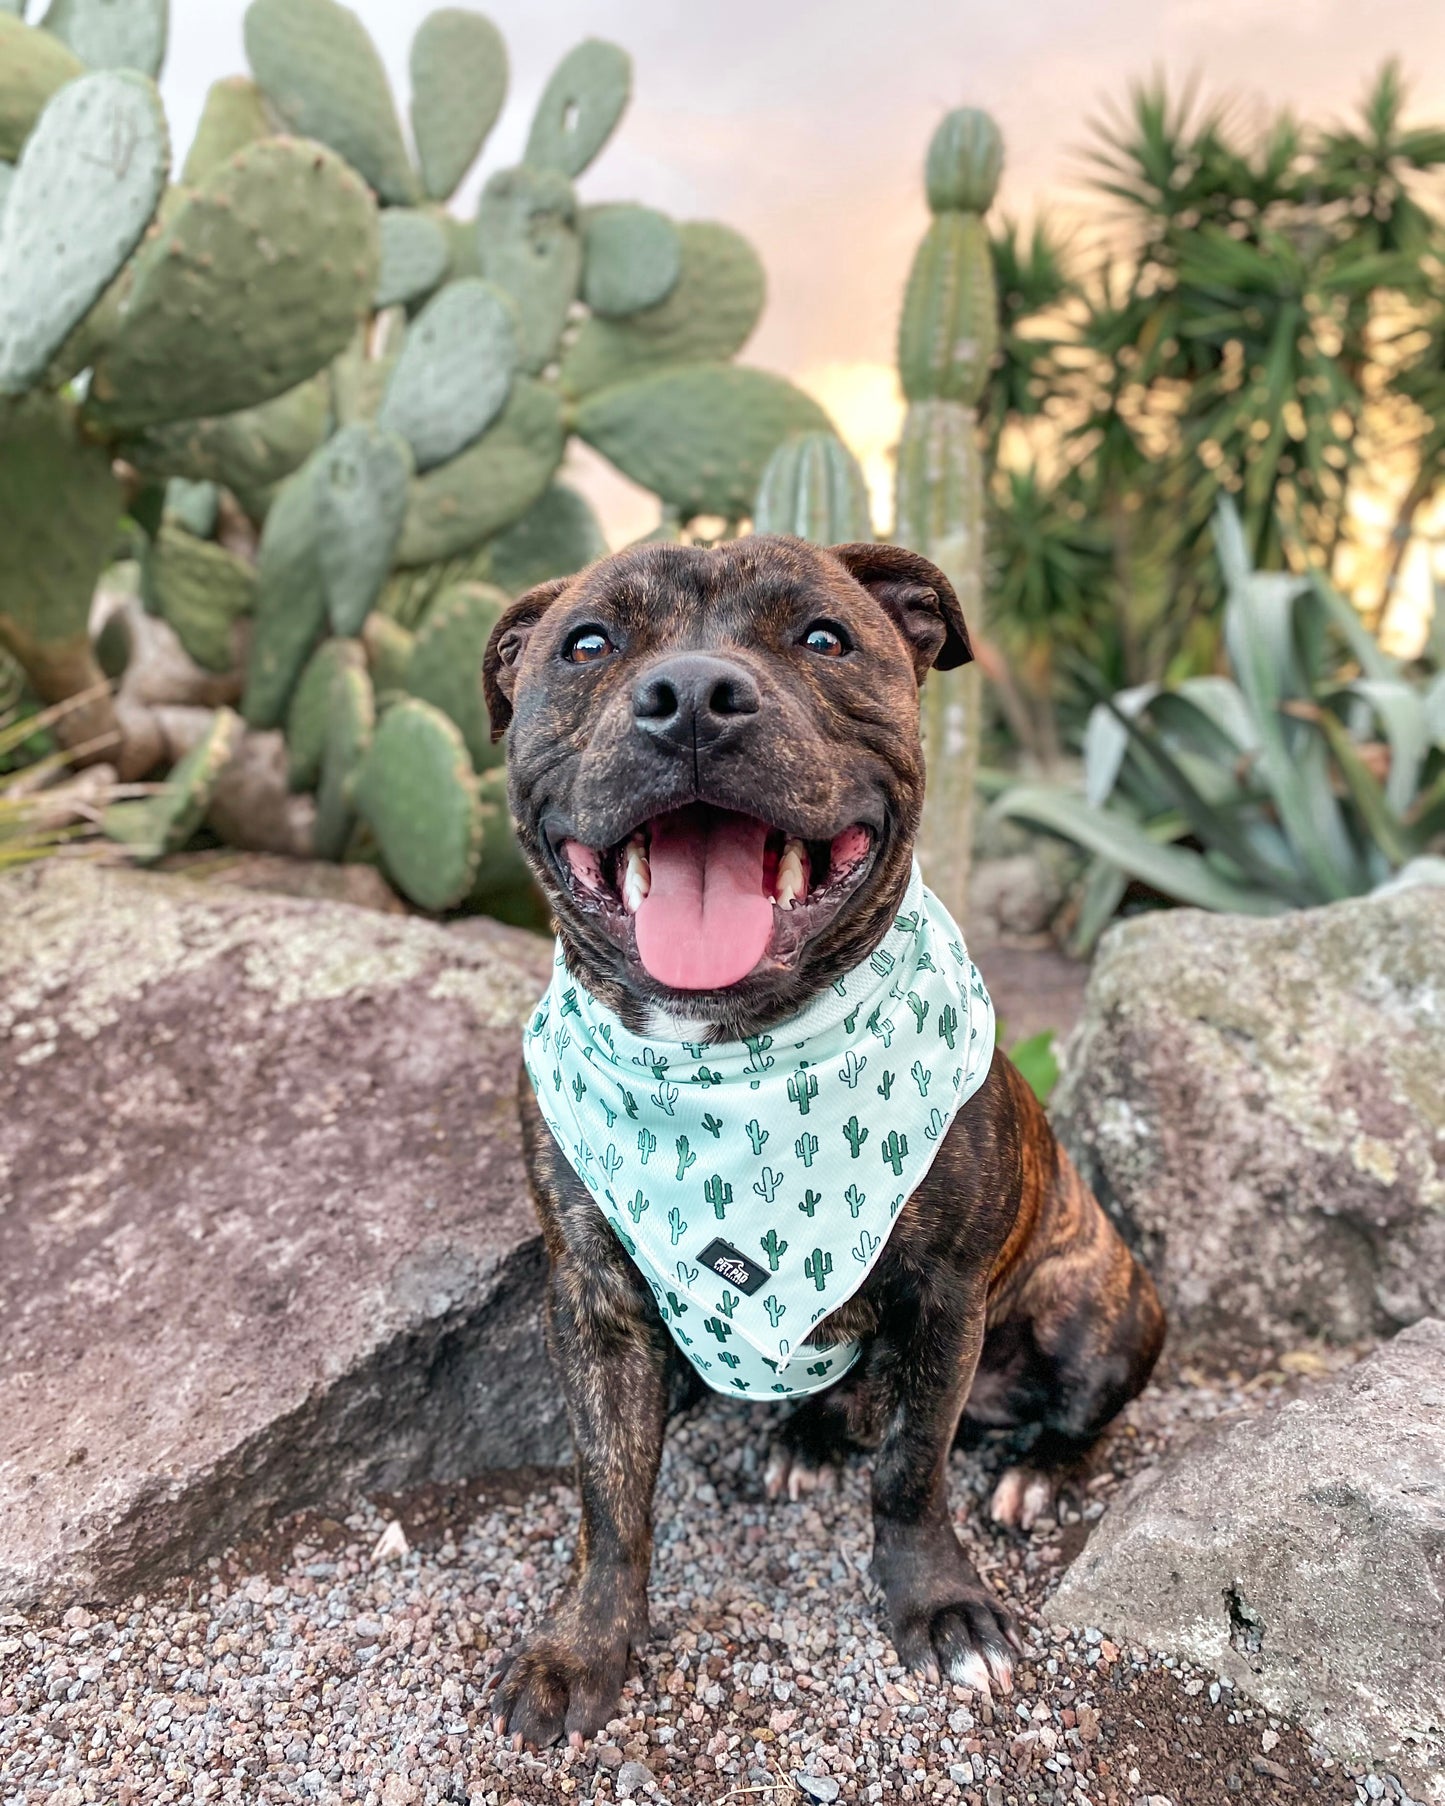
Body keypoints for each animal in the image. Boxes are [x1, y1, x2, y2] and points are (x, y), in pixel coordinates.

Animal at [484, 534, 1163, 1748]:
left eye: (822, 637)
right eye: (589, 644)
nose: (690, 696)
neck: (728, 1059)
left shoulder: (945, 1299)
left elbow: (911, 1473)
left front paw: (939, 1607)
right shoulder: (593, 1303)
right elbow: (608, 1497)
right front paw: (583, 1646)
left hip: (1094, 1307)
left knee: (1067, 1412)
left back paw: (1035, 1471)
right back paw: (803, 1438)